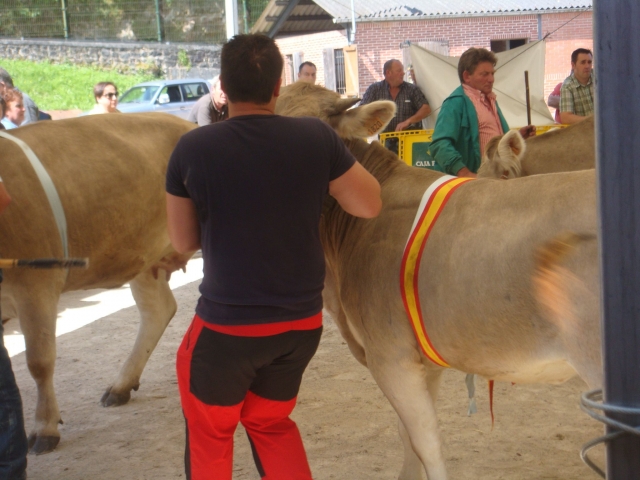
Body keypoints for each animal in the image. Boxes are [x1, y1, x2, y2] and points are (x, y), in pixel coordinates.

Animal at [0, 113, 196, 454]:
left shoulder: (35, 285)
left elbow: (39, 361)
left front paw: (44, 427)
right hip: (144, 255)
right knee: (159, 310)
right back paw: (121, 385)